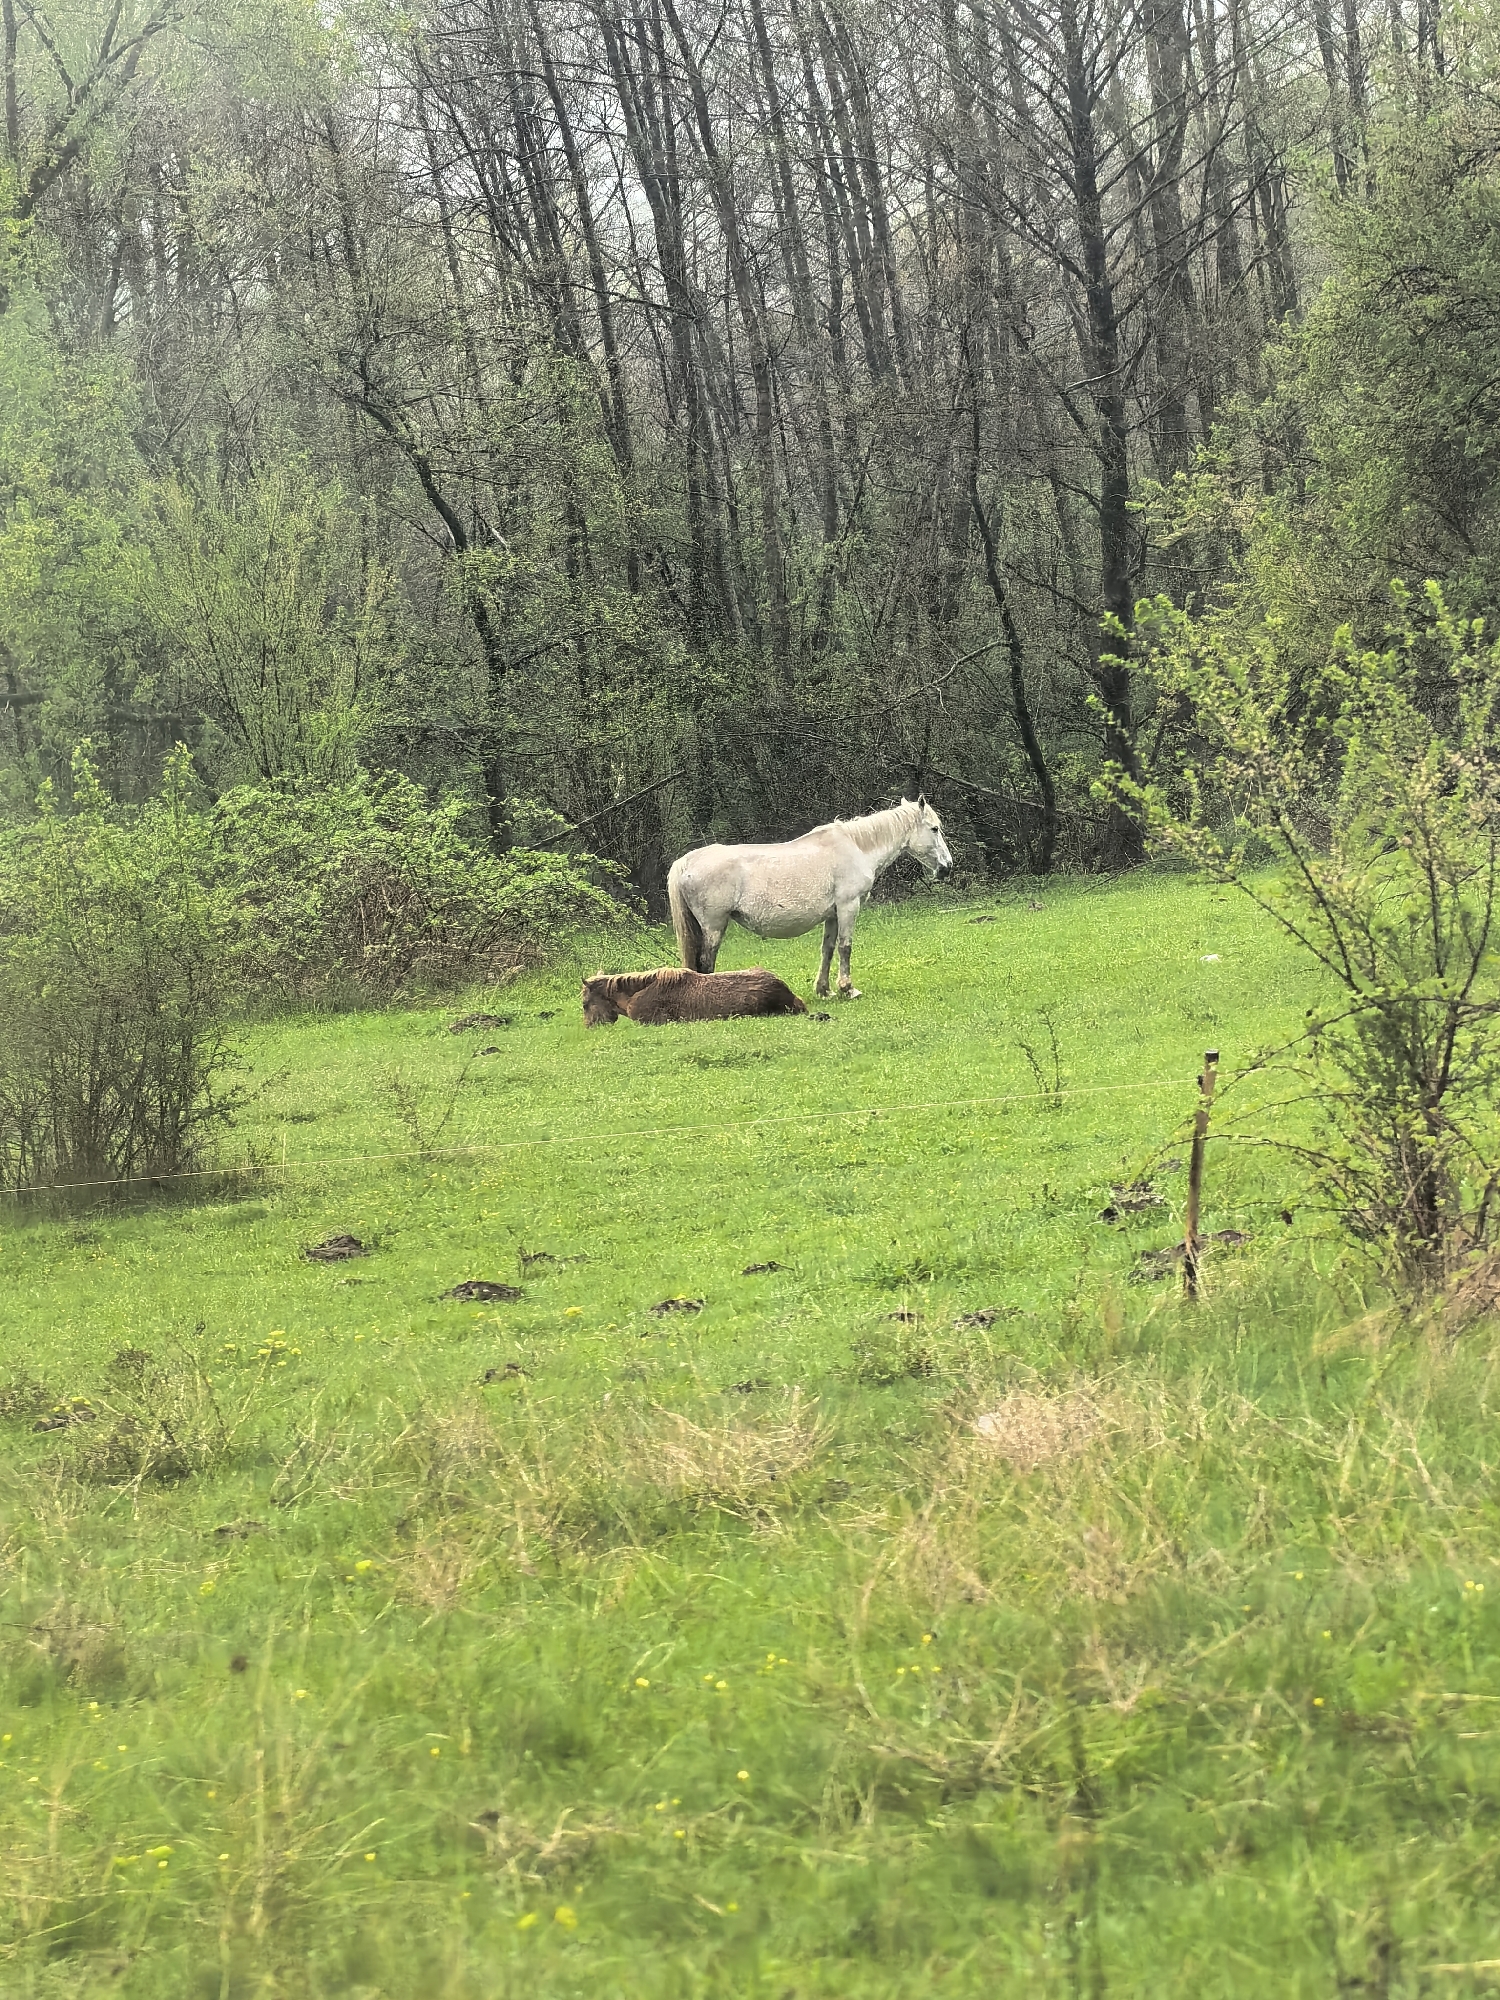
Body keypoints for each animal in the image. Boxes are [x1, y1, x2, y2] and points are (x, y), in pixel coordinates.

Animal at [666, 798, 953, 999]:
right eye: (935, 828)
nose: (947, 867)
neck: (856, 847)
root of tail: (686, 861)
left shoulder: (833, 914)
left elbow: (828, 949)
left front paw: (824, 989)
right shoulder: (848, 907)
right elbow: (845, 947)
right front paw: (848, 989)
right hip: (714, 927)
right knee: (705, 963)